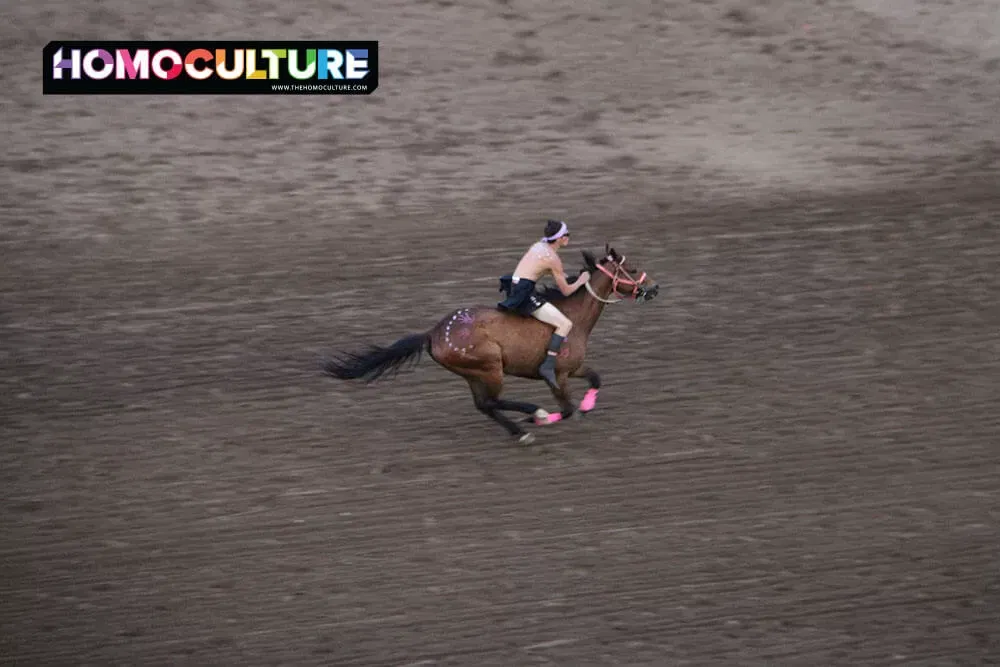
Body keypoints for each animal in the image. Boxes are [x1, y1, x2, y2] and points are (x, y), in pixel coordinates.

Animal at [324, 244, 660, 444]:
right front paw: (547, 415)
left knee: (484, 405)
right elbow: (566, 409)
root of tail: (433, 332)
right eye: (631, 270)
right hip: (491, 366)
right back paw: (532, 414)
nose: (654, 287)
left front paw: (587, 406)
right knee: (491, 401)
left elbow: (596, 378)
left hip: (473, 372)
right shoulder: (558, 374)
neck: (572, 317)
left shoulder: (574, 368)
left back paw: (519, 430)